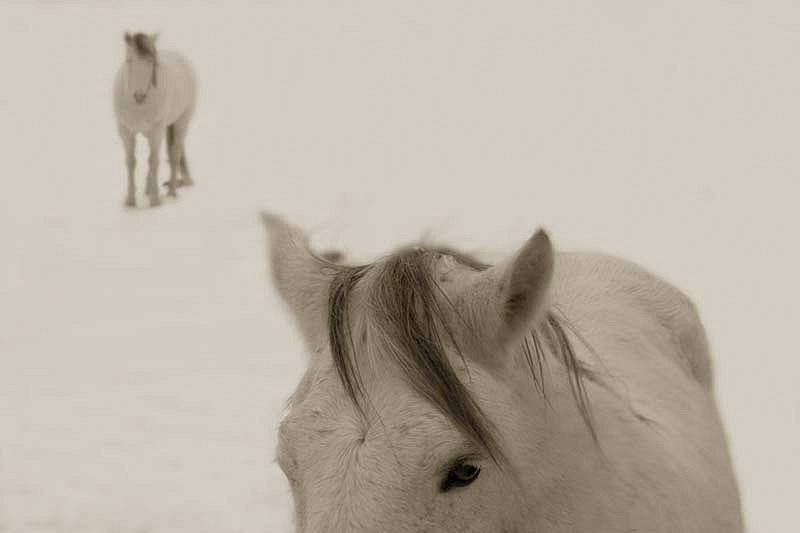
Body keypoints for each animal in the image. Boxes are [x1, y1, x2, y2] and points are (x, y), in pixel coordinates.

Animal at [112, 31, 197, 206]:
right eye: (128, 60)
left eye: (151, 62)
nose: (139, 96)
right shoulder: (125, 132)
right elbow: (131, 162)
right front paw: (130, 200)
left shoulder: (155, 132)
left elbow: (153, 161)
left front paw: (155, 200)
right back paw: (148, 188)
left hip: (181, 122)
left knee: (174, 153)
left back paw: (171, 191)